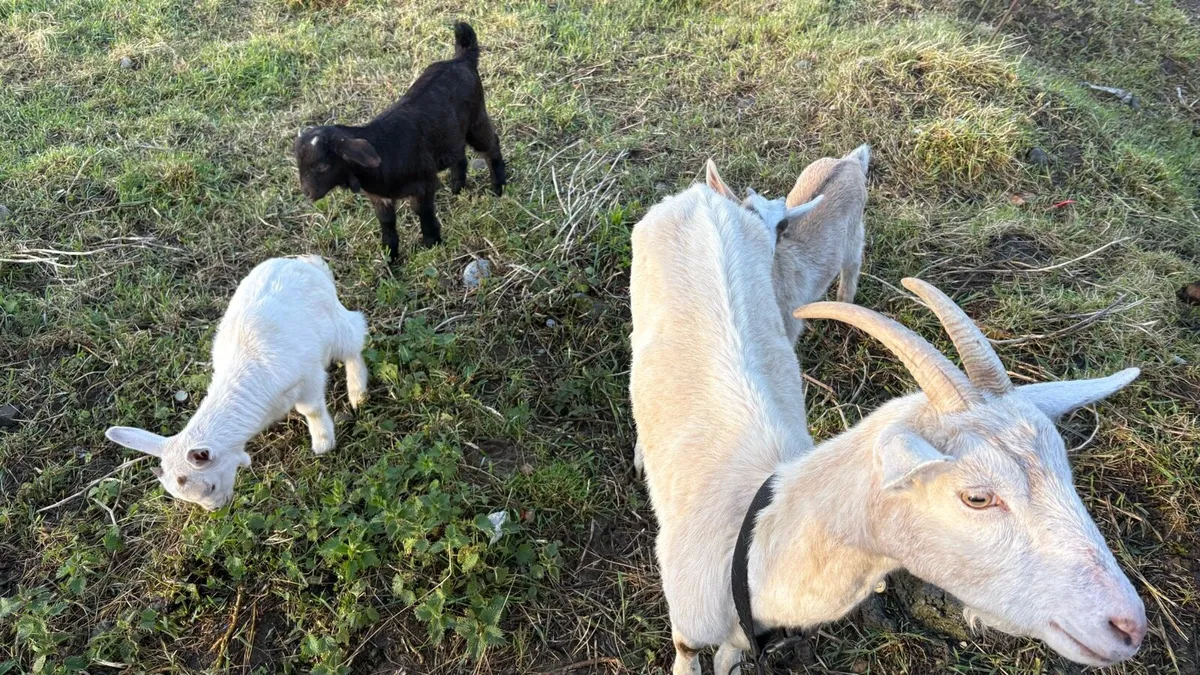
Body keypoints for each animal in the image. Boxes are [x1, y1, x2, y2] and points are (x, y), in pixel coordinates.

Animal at [105, 256, 369, 510]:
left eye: (210, 487)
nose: (216, 509)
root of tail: (307, 263)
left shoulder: (308, 377)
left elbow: (312, 410)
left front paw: (324, 443)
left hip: (337, 325)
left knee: (354, 339)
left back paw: (358, 394)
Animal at [294, 22, 505, 261]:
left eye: (322, 166)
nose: (307, 193)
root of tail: (461, 59)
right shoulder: (380, 199)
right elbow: (387, 226)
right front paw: (390, 258)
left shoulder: (423, 187)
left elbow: (425, 216)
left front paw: (432, 244)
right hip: (451, 132)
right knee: (459, 153)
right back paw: (457, 187)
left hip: (476, 120)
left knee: (491, 145)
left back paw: (498, 187)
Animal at [631, 186, 1146, 673]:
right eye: (977, 497)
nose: (1128, 626)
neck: (752, 536)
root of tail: (700, 196)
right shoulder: (688, 621)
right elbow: (686, 655)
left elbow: (728, 657)